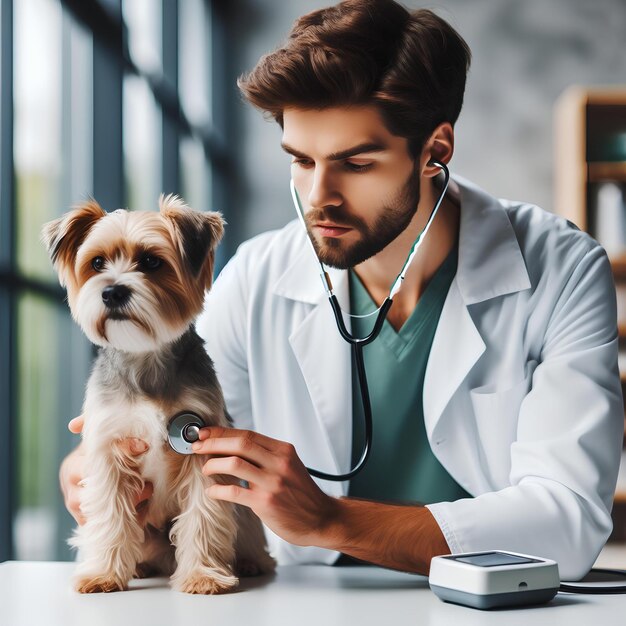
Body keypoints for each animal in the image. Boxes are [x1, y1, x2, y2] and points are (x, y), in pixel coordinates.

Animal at [39, 194, 272, 588]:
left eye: (151, 261)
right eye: (97, 263)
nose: (112, 291)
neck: (144, 357)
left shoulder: (205, 449)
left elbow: (204, 512)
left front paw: (202, 575)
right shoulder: (108, 449)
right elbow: (110, 513)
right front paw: (103, 573)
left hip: (245, 513)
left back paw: (250, 561)